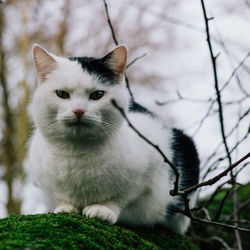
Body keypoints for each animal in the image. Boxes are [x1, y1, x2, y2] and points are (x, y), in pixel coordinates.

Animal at [24, 44, 199, 234]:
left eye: (97, 95)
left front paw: (103, 209)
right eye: (62, 94)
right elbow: (61, 197)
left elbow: (122, 197)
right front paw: (66, 207)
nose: (78, 110)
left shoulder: (151, 163)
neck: (78, 153)